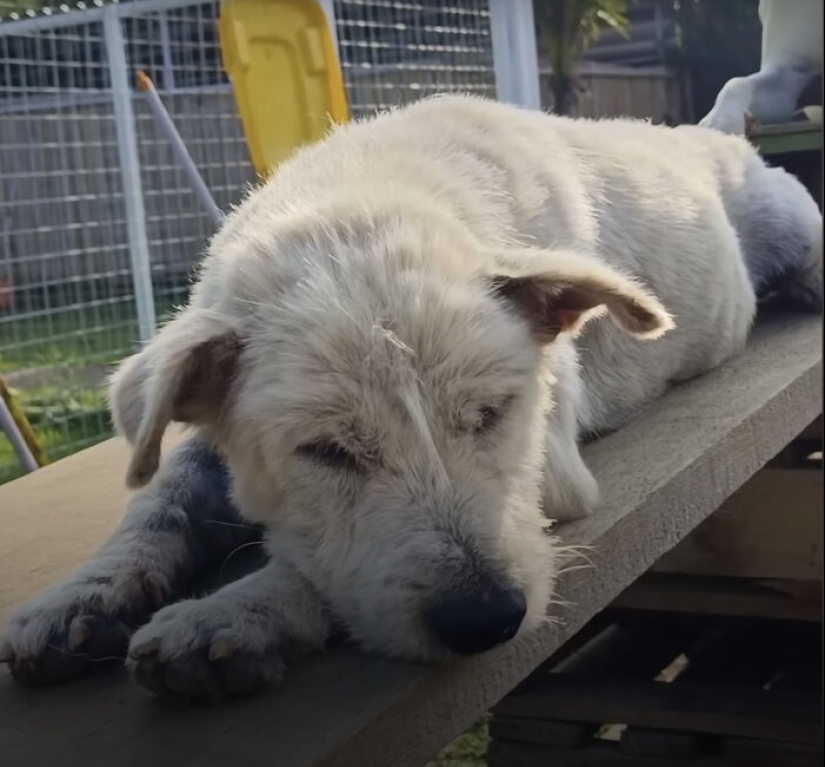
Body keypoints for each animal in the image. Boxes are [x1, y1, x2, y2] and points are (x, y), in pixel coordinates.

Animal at [0, 96, 816, 704]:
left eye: (491, 415)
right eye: (325, 450)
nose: (484, 619)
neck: (355, 208)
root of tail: (700, 133)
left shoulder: (552, 466)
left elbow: (313, 567)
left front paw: (239, 609)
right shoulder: (210, 433)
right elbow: (159, 502)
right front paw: (80, 596)